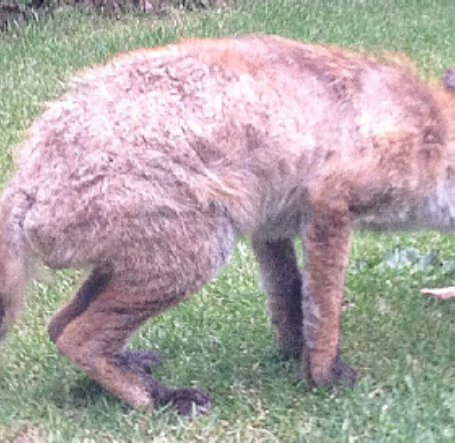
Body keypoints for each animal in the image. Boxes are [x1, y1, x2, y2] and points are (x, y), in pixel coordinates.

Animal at [0, 33, 455, 416]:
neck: (431, 132)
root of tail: (29, 175)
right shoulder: (331, 203)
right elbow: (324, 310)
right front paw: (322, 376)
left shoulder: (274, 225)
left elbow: (290, 296)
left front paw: (292, 356)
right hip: (199, 253)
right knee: (80, 338)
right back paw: (159, 400)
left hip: (139, 261)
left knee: (58, 325)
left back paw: (131, 371)